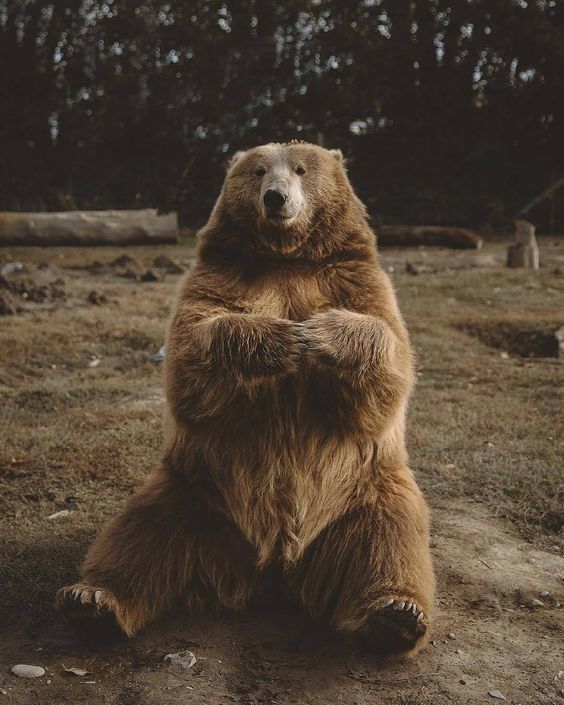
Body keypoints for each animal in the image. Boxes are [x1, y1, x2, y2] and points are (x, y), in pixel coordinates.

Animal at [57, 142, 434, 656]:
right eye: (258, 171)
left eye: (301, 169)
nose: (276, 198)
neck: (287, 258)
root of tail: (273, 571)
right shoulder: (220, 277)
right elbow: (191, 353)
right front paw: (281, 337)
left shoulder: (355, 280)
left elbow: (389, 356)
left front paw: (317, 333)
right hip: (194, 488)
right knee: (139, 534)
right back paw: (92, 598)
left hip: (367, 490)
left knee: (390, 538)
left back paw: (395, 614)